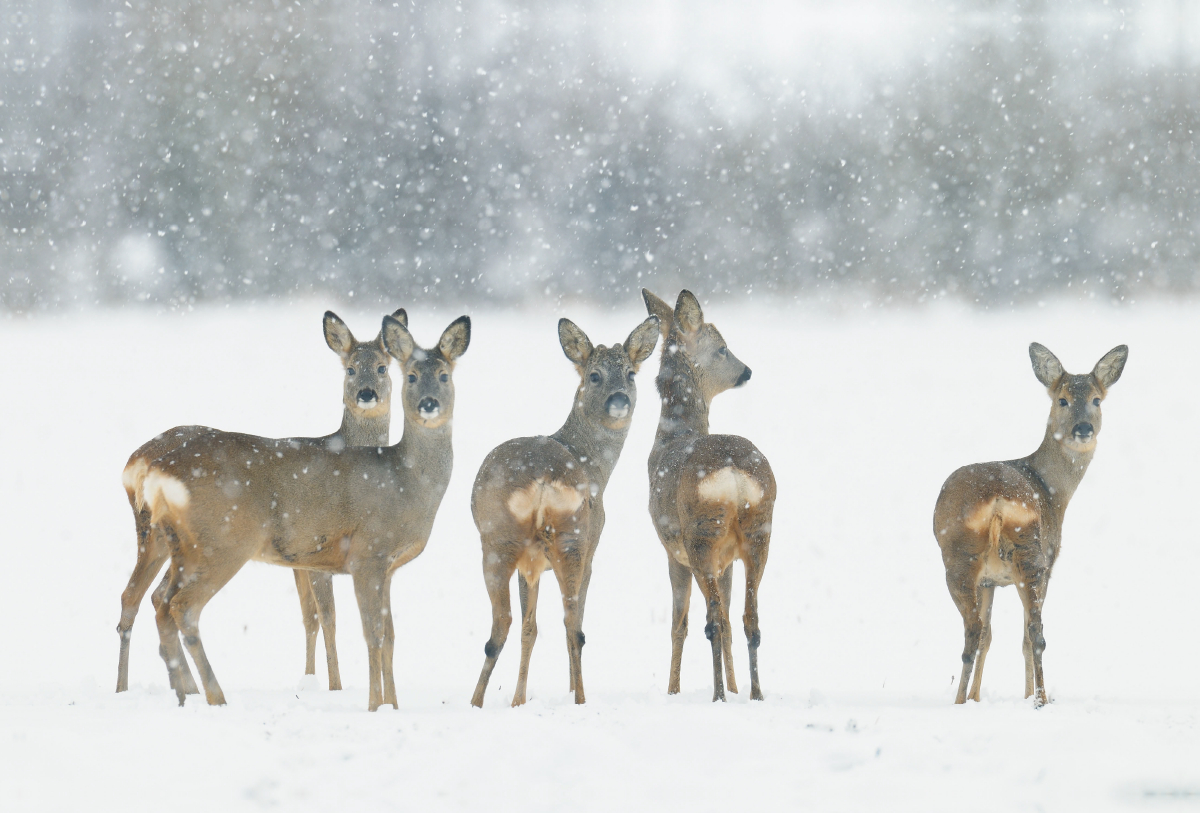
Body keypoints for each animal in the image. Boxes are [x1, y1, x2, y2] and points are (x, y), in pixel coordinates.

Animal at [123, 314, 468, 709]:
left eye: (444, 375)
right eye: (410, 375)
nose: (429, 403)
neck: (405, 481)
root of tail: (153, 469)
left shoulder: (387, 567)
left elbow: (390, 636)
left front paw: (392, 706)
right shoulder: (366, 554)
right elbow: (370, 632)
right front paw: (371, 705)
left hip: (179, 544)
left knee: (157, 601)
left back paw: (185, 695)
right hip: (224, 542)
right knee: (181, 606)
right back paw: (215, 696)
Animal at [468, 314, 662, 709]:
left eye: (630, 373)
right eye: (595, 375)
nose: (620, 399)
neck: (594, 466)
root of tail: (544, 476)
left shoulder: (538, 560)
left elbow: (529, 626)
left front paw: (519, 699)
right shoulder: (572, 552)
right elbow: (540, 625)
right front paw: (528, 697)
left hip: (511, 541)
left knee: (514, 622)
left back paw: (480, 701)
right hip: (568, 539)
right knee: (568, 623)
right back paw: (576, 699)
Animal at [643, 290, 772, 705]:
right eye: (723, 348)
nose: (746, 371)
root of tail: (732, 473)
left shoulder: (672, 551)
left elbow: (678, 624)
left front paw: (673, 690)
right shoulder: (726, 559)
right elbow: (730, 618)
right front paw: (734, 685)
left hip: (699, 535)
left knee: (712, 619)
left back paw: (717, 696)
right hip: (758, 530)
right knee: (747, 617)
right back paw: (753, 693)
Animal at [936, 342, 1123, 705]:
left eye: (1097, 400)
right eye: (1062, 399)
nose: (1083, 429)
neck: (1053, 492)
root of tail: (996, 498)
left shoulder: (991, 580)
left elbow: (989, 635)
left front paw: (977, 697)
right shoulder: (1041, 564)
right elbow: (1005, 635)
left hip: (969, 558)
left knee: (981, 632)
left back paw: (970, 701)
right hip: (1031, 555)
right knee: (1029, 633)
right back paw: (1036, 699)